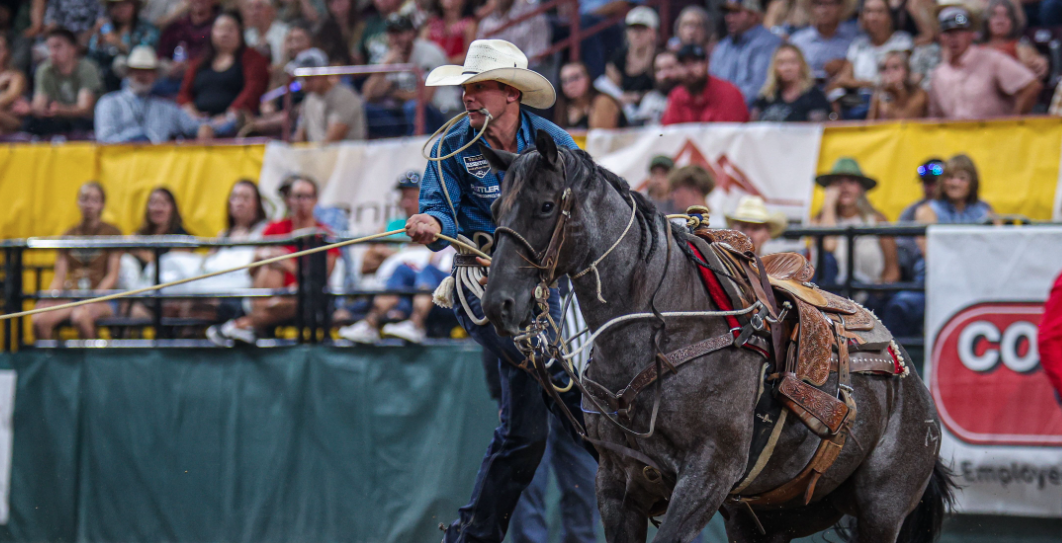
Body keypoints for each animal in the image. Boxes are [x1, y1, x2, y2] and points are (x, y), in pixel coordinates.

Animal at [477, 131, 960, 543]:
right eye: (495, 211)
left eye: (545, 206)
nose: (497, 302)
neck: (665, 333)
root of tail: (911, 381)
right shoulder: (616, 481)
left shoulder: (707, 476)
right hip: (769, 517)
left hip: (881, 510)